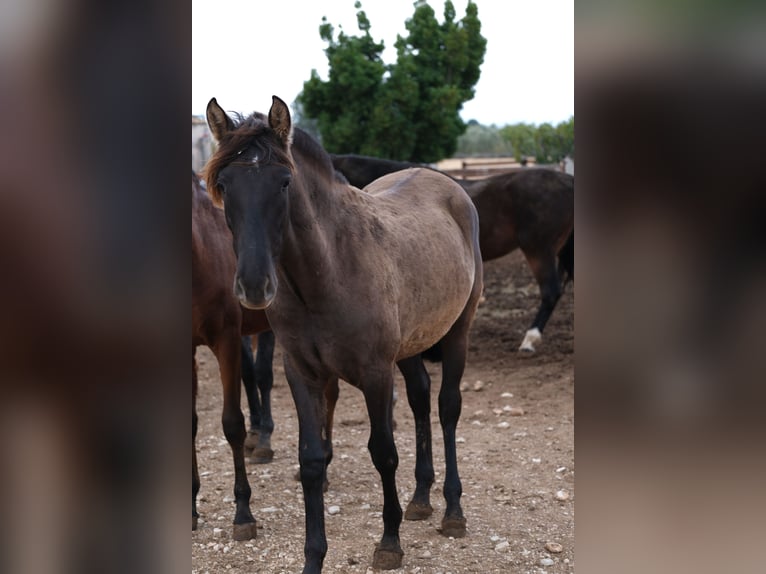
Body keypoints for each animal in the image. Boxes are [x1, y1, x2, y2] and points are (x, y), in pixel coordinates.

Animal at [201, 97, 484, 572]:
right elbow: (312, 460)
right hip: (410, 347)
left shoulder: (375, 372)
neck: (327, 272)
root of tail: (447, 184)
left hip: (458, 333)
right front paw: (313, 557)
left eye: (284, 183)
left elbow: (383, 451)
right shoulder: (302, 372)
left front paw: (389, 542)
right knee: (421, 399)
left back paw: (452, 509)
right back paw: (421, 498)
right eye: (223, 183)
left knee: (447, 409)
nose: (254, 286)